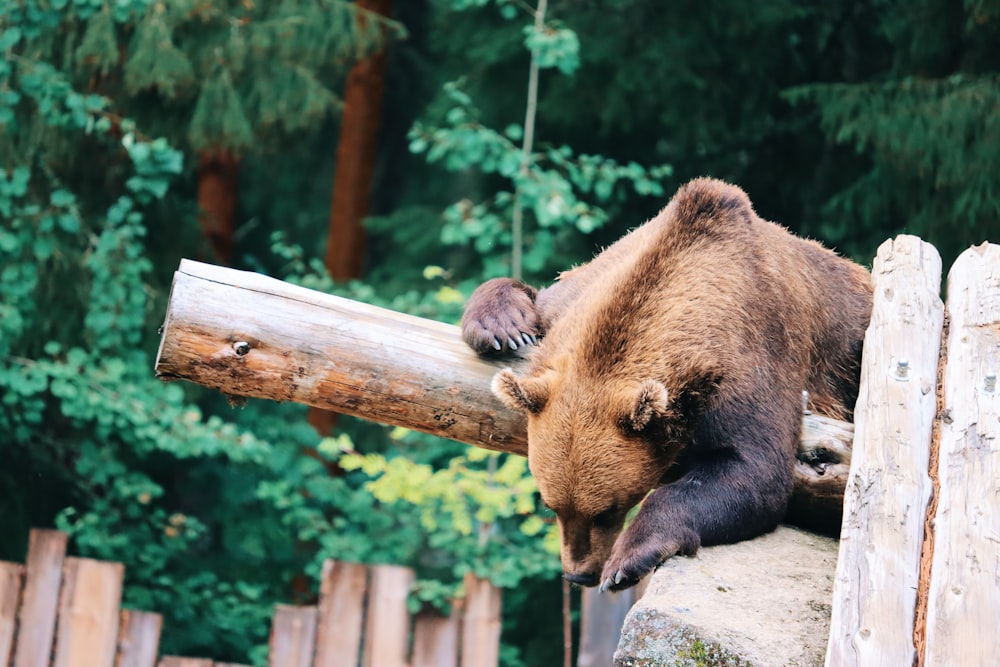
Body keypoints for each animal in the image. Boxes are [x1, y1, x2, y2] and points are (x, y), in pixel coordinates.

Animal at [458, 176, 868, 588]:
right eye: (551, 504)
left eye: (608, 510)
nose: (579, 574)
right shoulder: (580, 295)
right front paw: (503, 328)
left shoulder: (753, 356)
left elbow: (751, 469)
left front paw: (628, 558)